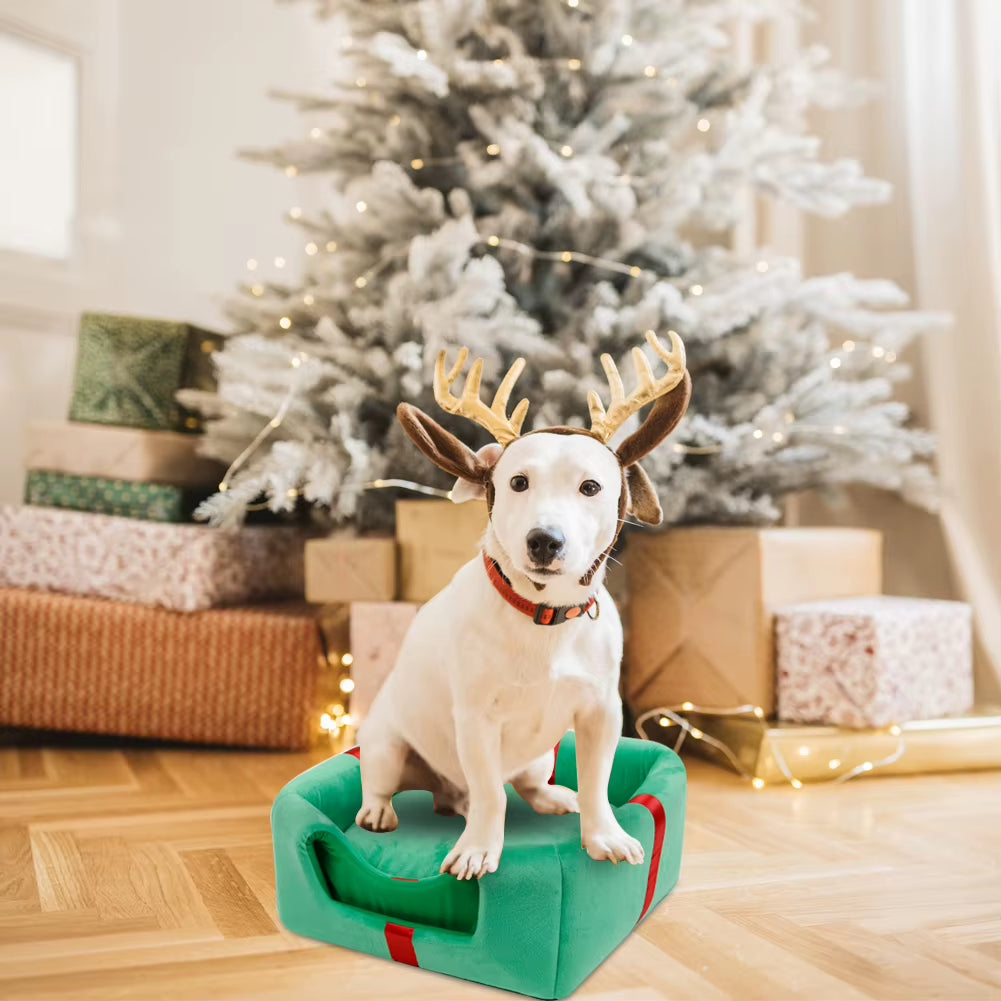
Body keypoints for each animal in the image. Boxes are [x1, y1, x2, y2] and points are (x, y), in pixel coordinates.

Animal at [354, 332, 688, 880]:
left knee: (527, 784)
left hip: (540, 757)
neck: (544, 616)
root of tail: (445, 796)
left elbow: (598, 784)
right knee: (391, 785)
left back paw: (554, 798)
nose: (544, 541)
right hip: (386, 745)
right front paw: (479, 849)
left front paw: (604, 835)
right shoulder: (475, 721)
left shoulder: (601, 711)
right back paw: (379, 811)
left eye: (591, 487)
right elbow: (492, 795)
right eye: (517, 482)